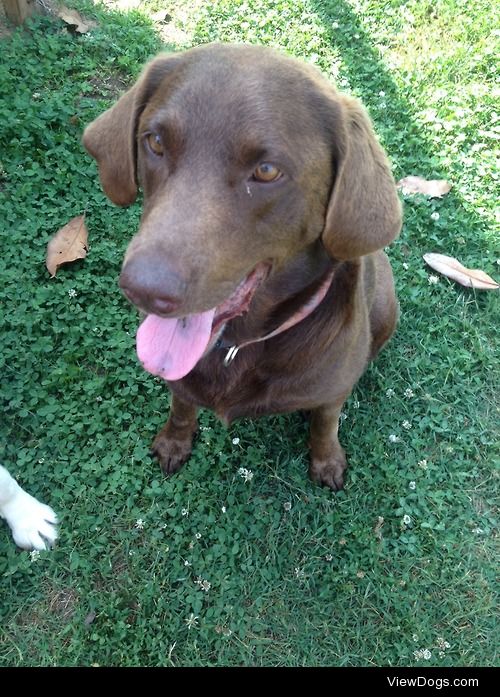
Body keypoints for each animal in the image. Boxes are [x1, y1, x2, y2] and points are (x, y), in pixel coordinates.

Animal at [83, 43, 402, 490]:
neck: (238, 344)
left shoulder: (333, 392)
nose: (142, 289)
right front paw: (174, 441)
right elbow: (181, 406)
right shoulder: (180, 383)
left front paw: (327, 461)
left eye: (266, 171)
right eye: (156, 142)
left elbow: (326, 423)